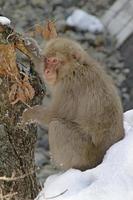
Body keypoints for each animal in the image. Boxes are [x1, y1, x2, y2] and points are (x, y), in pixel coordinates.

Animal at [22, 36, 124, 170]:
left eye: (55, 61)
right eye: (48, 60)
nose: (47, 71)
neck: (75, 68)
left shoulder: (70, 86)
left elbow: (55, 114)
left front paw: (29, 113)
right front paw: (31, 48)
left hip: (84, 154)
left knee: (56, 126)